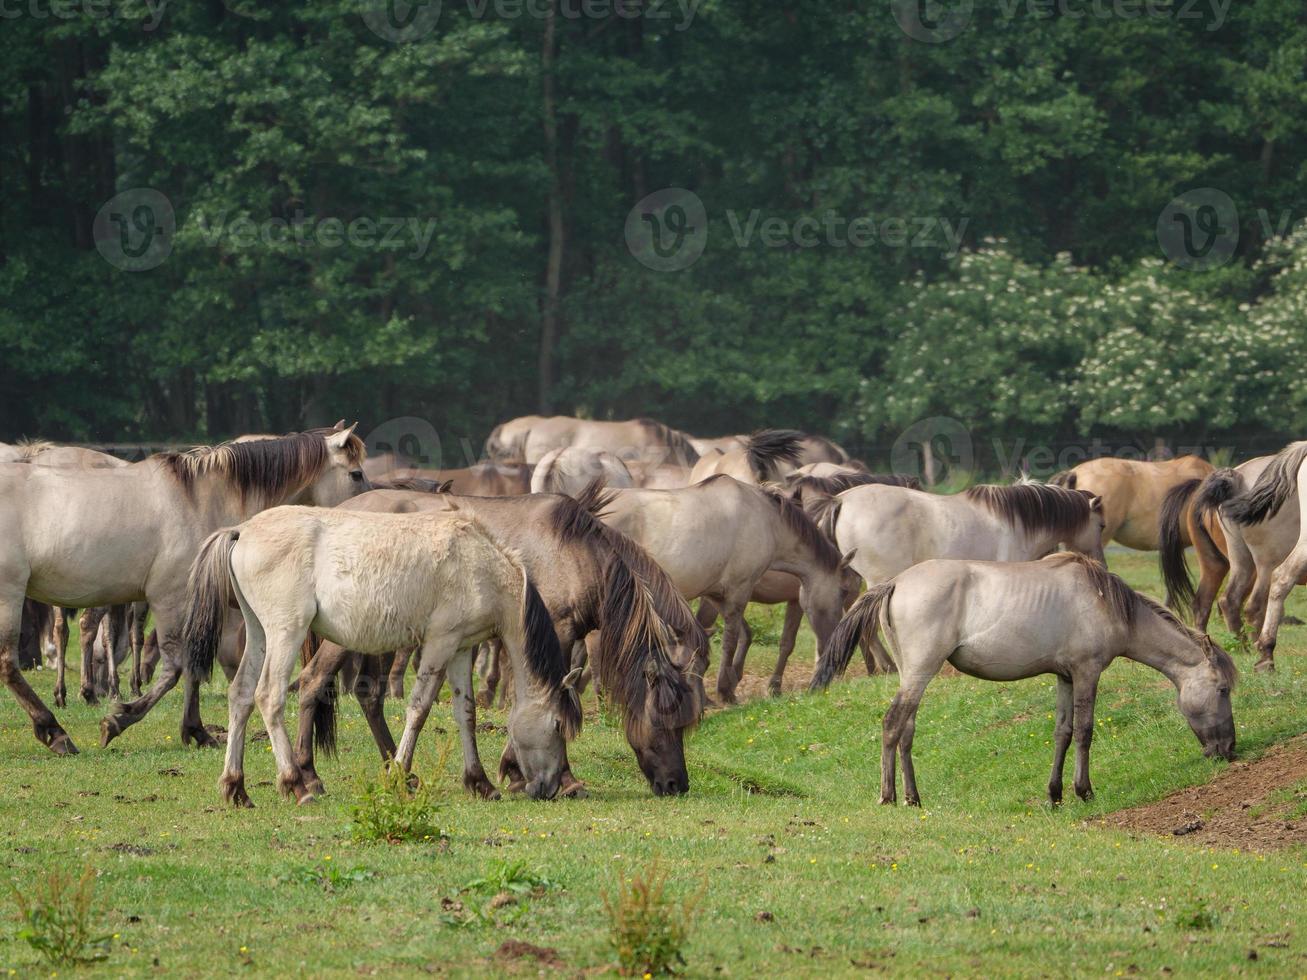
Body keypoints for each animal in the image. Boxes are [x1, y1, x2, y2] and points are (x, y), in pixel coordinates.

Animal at [0, 425, 368, 757]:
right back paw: (54, 731)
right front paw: (120, 719)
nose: (368, 511)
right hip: (10, 595)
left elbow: (192, 663)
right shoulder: (168, 598)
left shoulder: (192, 600)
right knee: (9, 664)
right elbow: (176, 667)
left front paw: (195, 730)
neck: (200, 498)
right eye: (356, 474)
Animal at [181, 509, 580, 810]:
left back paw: (236, 787)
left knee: (241, 695)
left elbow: (465, 713)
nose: (551, 788)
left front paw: (479, 782)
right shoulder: (440, 644)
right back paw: (297, 784)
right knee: (268, 696)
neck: (480, 563)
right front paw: (400, 775)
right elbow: (419, 709)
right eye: (558, 725)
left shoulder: (462, 649)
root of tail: (241, 530)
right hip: (285, 632)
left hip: (260, 633)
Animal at [810, 483, 1108, 684]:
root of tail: (841, 499)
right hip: (878, 579)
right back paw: (887, 666)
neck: (1017, 522)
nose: (1101, 564)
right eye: (1102, 526)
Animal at [810, 556, 1239, 810]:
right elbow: (1085, 731)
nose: (1228, 750)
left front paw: (1055, 794)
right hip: (919, 673)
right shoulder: (1087, 673)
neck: (1107, 601)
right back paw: (888, 796)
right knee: (892, 724)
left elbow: (1062, 732)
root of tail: (896, 582)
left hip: (911, 676)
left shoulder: (1065, 677)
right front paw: (1084, 791)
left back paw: (913, 797)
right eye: (1223, 689)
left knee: (906, 730)